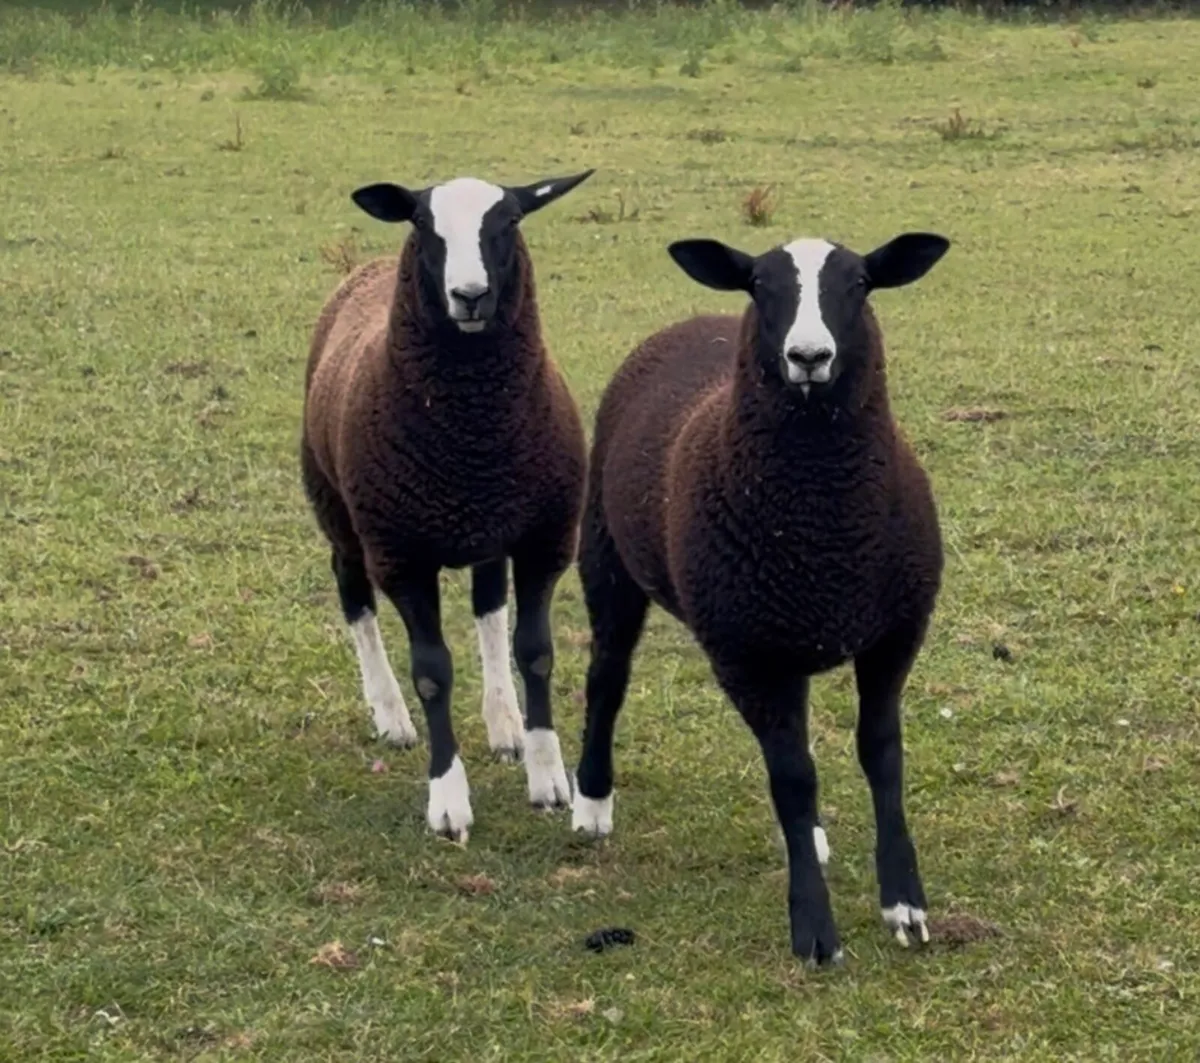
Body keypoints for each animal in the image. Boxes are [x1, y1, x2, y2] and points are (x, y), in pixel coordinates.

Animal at [300, 169, 594, 844]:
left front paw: (548, 776)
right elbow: (432, 671)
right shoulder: (403, 556)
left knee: (489, 608)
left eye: (508, 222)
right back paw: (391, 716)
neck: (472, 436)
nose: (470, 296)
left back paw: (504, 724)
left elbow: (535, 654)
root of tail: (370, 266)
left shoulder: (544, 539)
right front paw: (448, 799)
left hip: (488, 531)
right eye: (423, 225)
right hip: (341, 512)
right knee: (354, 598)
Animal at [569, 228, 950, 964]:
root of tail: (694, 320)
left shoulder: (893, 635)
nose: (809, 357)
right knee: (607, 677)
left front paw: (904, 902)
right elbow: (792, 776)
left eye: (859, 284)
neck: (825, 530)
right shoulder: (746, 654)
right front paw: (815, 928)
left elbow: (881, 755)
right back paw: (591, 799)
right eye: (761, 287)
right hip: (608, 558)